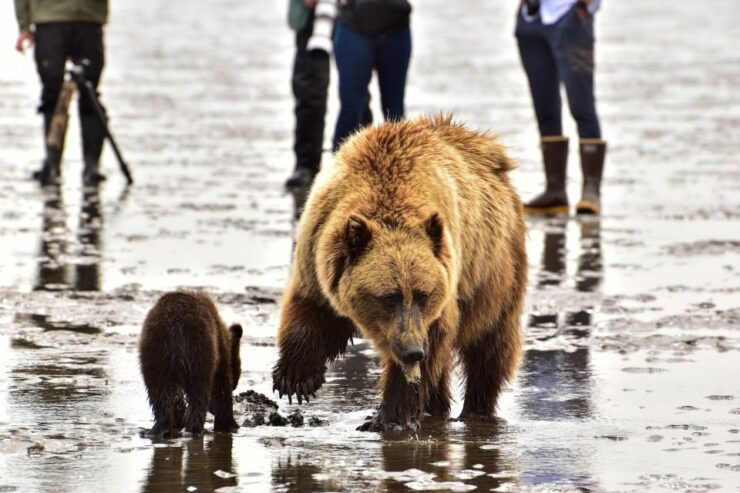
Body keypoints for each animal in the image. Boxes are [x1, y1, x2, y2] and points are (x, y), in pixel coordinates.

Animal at [140, 291, 243, 436]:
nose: (212, 409)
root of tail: (175, 327)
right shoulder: (218, 350)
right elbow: (221, 385)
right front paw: (228, 423)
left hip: (155, 352)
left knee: (158, 390)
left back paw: (159, 427)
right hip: (198, 352)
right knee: (199, 392)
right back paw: (195, 428)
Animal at [272, 115, 527, 431]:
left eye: (423, 294)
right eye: (388, 296)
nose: (413, 350)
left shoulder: (442, 285)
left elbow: (433, 343)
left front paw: (387, 417)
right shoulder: (318, 241)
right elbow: (312, 305)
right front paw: (296, 379)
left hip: (493, 265)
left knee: (490, 342)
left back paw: (475, 409)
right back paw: (436, 407)